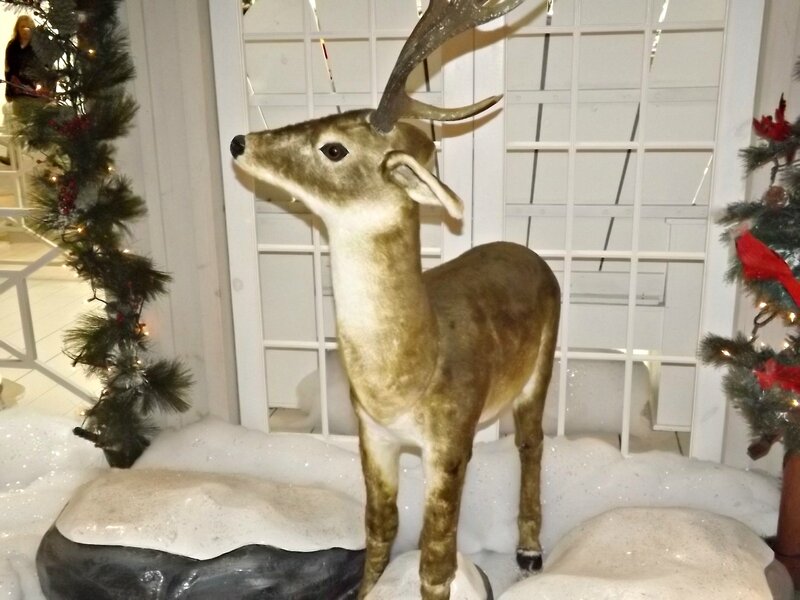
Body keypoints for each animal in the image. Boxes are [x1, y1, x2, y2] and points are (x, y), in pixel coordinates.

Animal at [230, 1, 560, 598]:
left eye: (334, 147)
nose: (239, 142)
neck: (406, 377)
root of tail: (526, 252)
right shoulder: (373, 435)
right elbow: (379, 526)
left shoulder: (448, 440)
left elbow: (436, 559)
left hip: (541, 364)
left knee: (532, 442)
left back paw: (528, 551)